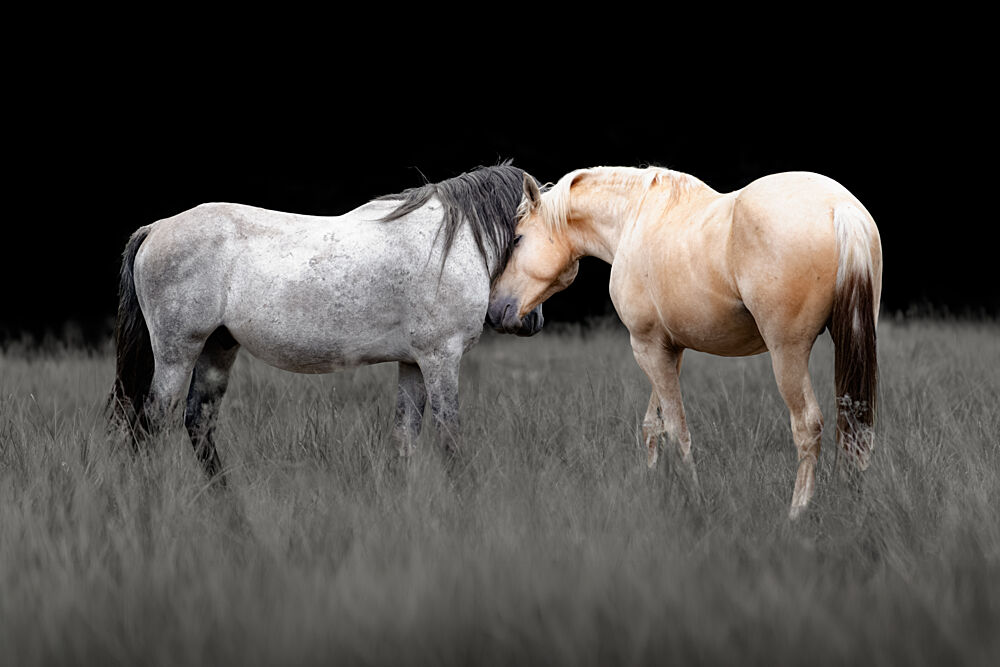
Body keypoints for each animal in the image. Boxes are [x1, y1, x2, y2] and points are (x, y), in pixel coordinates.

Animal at [109, 162, 544, 483]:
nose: (526, 320)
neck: (450, 244)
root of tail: (154, 228)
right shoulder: (441, 358)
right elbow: (449, 432)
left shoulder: (413, 363)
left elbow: (405, 435)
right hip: (176, 352)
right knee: (151, 422)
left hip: (217, 347)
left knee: (197, 422)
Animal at [487, 166, 881, 519]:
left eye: (518, 239)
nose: (495, 311)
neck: (633, 217)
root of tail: (839, 207)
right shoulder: (668, 349)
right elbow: (654, 425)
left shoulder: (646, 346)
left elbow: (677, 429)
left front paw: (693, 497)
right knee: (855, 422)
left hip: (788, 353)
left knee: (808, 426)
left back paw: (797, 513)